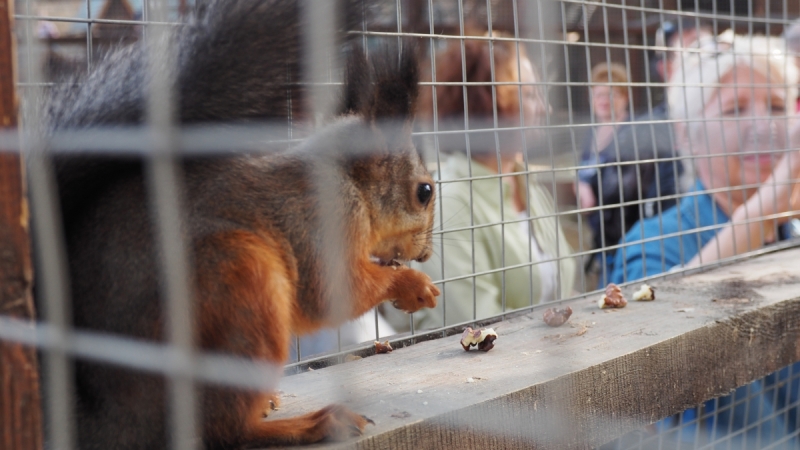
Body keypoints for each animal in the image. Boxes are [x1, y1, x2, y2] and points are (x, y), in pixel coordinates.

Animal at [41, 0, 440, 446]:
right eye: (424, 191)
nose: (426, 252)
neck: (347, 179)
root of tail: (107, 416)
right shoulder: (324, 222)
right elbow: (330, 293)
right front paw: (412, 285)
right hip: (241, 284)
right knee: (224, 430)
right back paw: (307, 424)